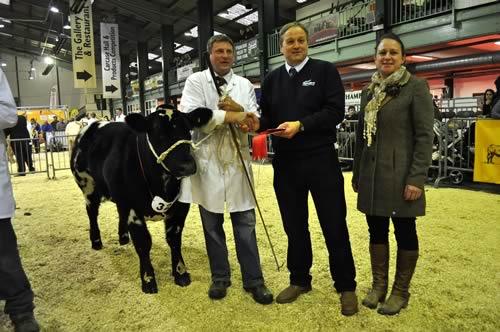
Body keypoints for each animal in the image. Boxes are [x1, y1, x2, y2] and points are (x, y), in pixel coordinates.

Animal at [70, 105, 211, 294]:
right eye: (158, 133)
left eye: (188, 131)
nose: (187, 166)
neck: (162, 185)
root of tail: (93, 124)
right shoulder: (132, 208)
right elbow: (143, 242)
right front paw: (148, 279)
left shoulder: (180, 207)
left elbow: (174, 239)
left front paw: (181, 273)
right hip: (87, 186)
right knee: (92, 213)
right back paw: (96, 241)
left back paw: (123, 237)